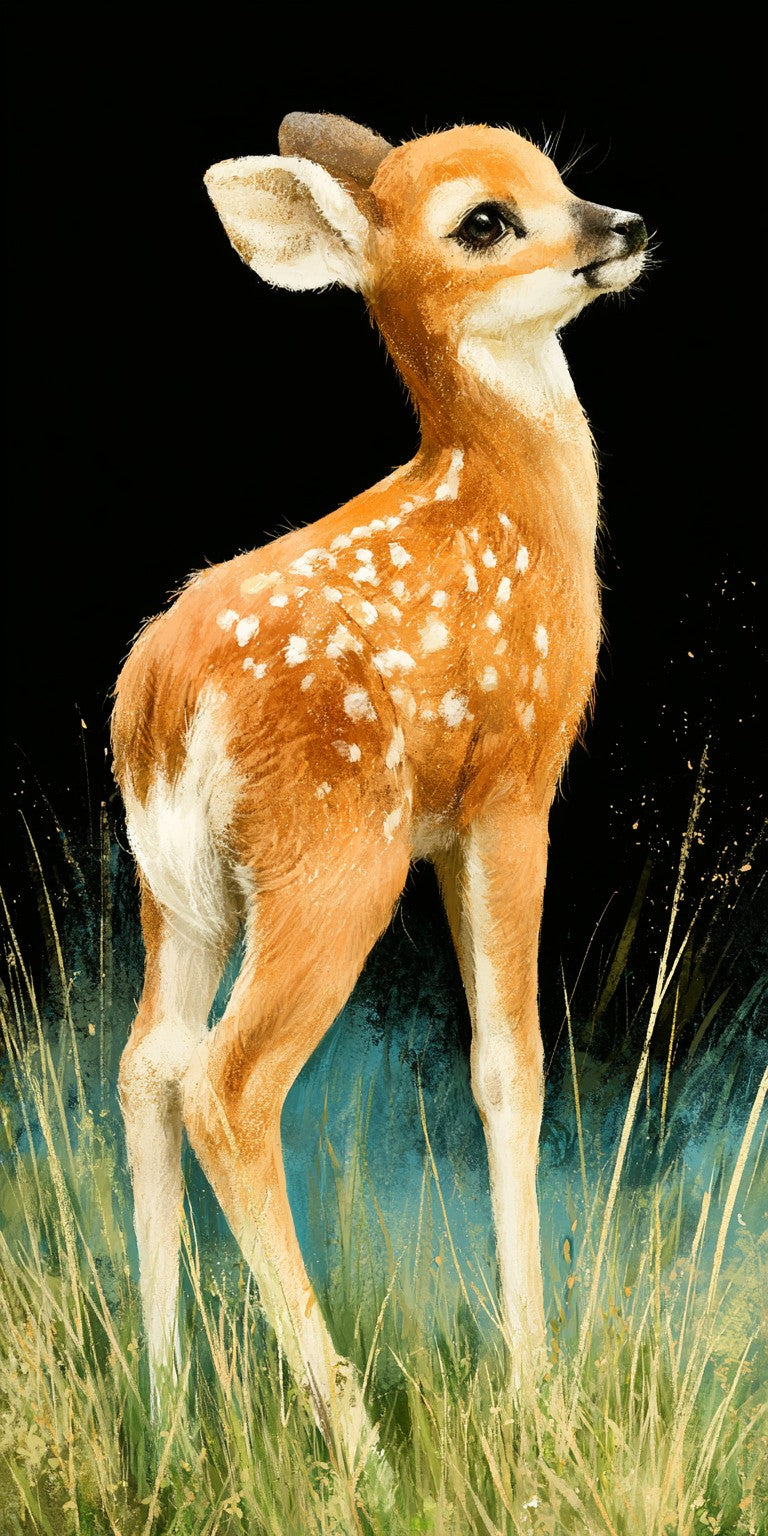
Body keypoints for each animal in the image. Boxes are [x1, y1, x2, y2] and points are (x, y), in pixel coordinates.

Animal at [112, 111, 647, 1488]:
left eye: (558, 176)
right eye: (485, 220)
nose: (625, 227)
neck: (501, 496)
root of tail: (159, 704)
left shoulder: (451, 826)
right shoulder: (514, 787)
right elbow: (510, 1066)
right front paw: (536, 1399)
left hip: (176, 890)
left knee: (145, 1066)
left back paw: (170, 1423)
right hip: (331, 860)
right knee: (228, 1084)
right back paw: (358, 1447)